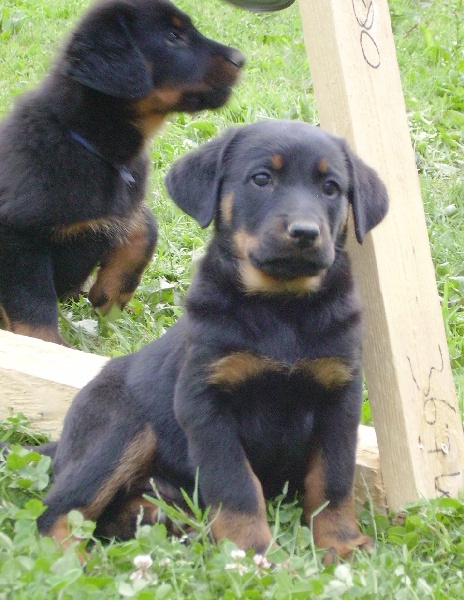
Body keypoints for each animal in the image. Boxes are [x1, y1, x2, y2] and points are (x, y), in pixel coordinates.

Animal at [0, 0, 244, 346]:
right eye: (173, 36)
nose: (241, 59)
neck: (91, 145)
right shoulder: (17, 234)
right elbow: (32, 302)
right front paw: (47, 347)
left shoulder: (125, 202)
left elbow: (145, 226)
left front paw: (110, 296)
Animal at [35, 120, 388, 561]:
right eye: (261, 179)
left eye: (331, 188)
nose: (306, 233)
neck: (282, 309)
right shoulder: (206, 402)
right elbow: (236, 486)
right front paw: (253, 554)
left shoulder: (339, 396)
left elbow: (333, 479)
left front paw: (342, 544)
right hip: (121, 426)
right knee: (59, 511)